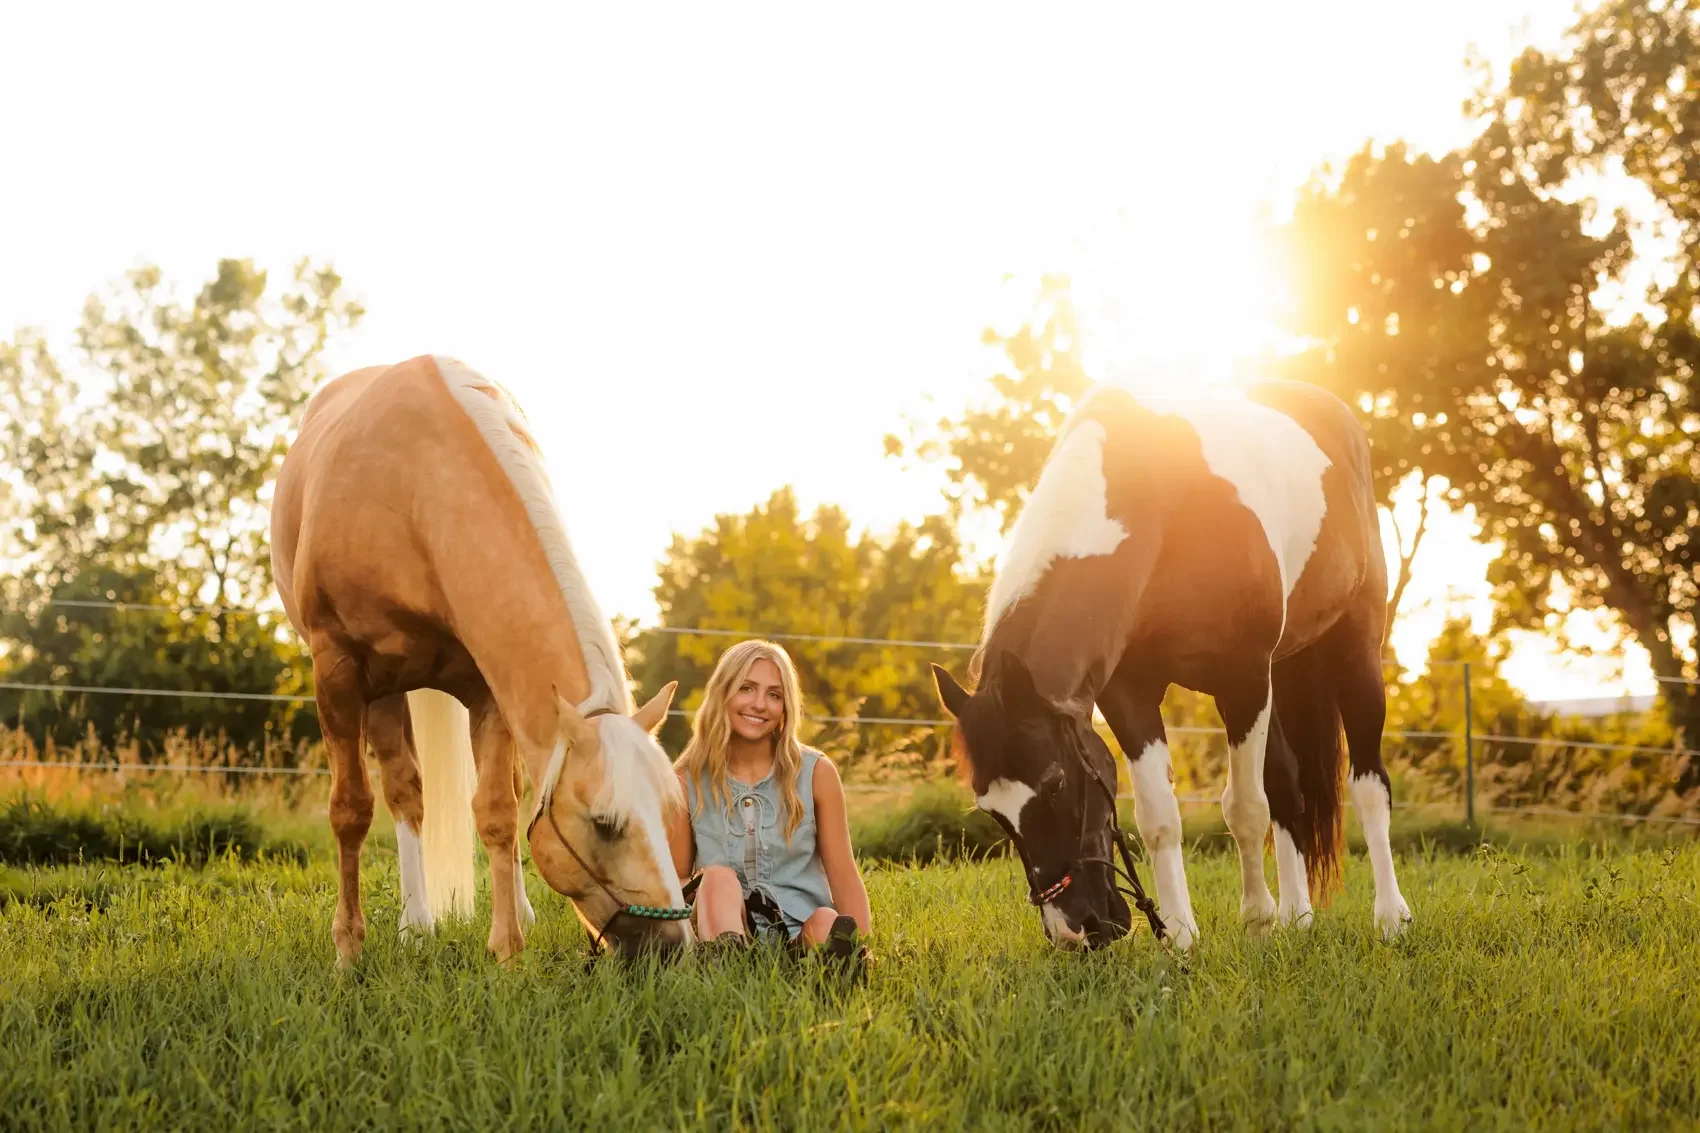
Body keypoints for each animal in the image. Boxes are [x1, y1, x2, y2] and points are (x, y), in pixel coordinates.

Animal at [270, 355, 692, 967]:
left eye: (668, 813)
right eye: (604, 824)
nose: (675, 947)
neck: (412, 492)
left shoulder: (490, 688)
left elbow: (498, 811)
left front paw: (509, 952)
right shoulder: (340, 673)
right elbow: (351, 810)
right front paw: (348, 952)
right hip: (384, 690)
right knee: (403, 792)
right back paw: (416, 925)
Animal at [931, 377, 1413, 951]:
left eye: (1054, 784)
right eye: (990, 810)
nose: (1075, 932)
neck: (1164, 508)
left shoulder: (1243, 679)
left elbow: (1245, 808)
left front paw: (1257, 920)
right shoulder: (1130, 693)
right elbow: (1160, 816)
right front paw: (1181, 937)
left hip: (1354, 650)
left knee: (1368, 787)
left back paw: (1390, 917)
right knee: (1288, 787)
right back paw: (1298, 916)